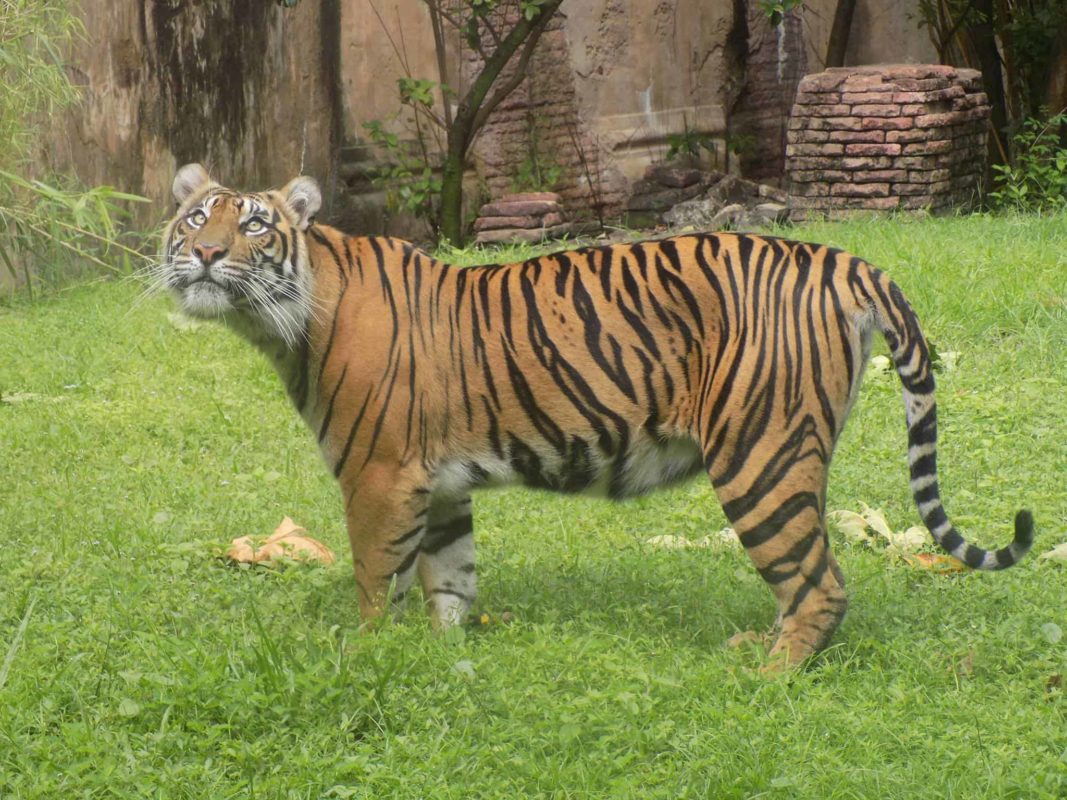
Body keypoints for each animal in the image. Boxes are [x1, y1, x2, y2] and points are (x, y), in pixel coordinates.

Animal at [158, 162, 1033, 668]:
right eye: (197, 217)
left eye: (254, 223)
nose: (203, 255)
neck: (282, 319)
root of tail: (837, 256)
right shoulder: (438, 485)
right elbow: (450, 579)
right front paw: (443, 660)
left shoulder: (380, 477)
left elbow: (379, 580)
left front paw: (373, 659)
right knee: (804, 576)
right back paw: (759, 646)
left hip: (760, 456)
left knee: (820, 584)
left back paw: (767, 677)